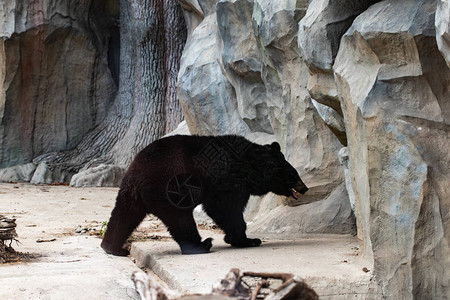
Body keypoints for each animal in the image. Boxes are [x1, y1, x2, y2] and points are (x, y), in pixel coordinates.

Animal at [100, 136, 308, 255]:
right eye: (293, 175)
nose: (305, 188)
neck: (250, 166)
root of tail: (136, 174)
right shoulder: (227, 180)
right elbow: (224, 208)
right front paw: (246, 240)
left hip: (131, 194)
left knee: (123, 216)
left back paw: (113, 247)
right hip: (169, 189)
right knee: (180, 220)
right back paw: (201, 245)